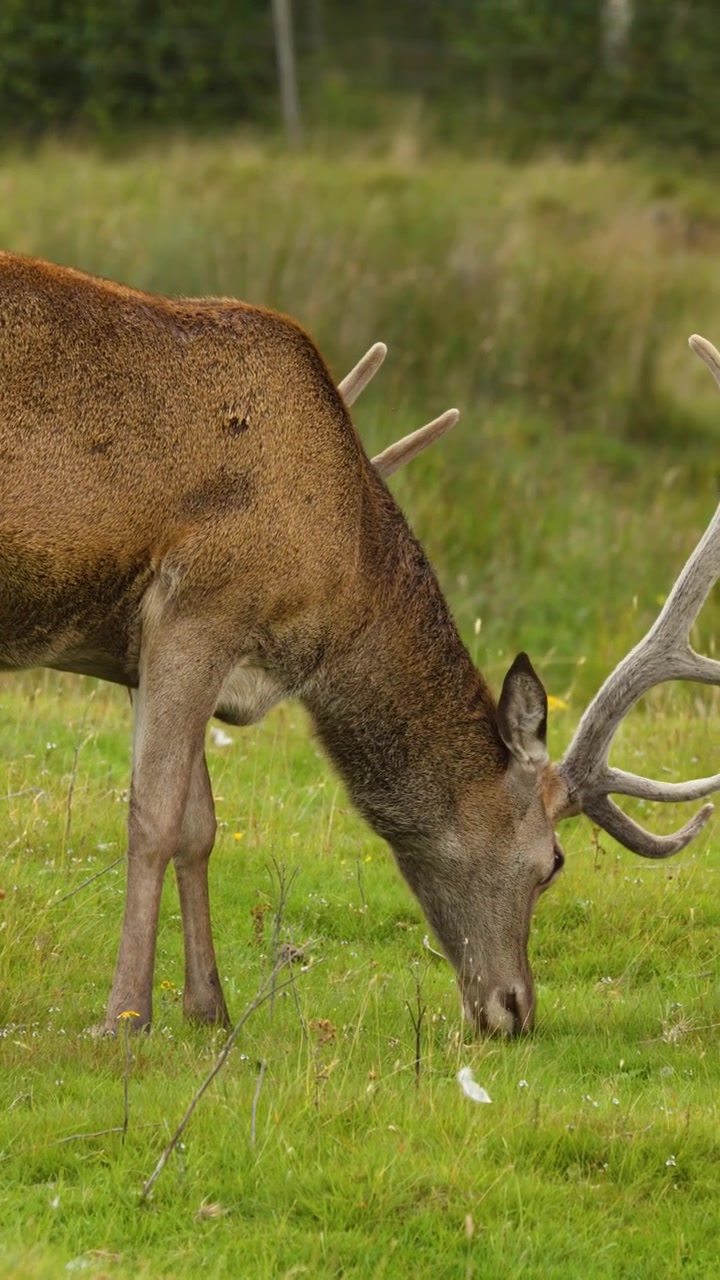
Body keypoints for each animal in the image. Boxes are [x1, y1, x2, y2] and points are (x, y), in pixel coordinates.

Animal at [1, 250, 718, 1038]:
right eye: (554, 861)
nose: (514, 1009)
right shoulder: (198, 610)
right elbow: (154, 819)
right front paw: (126, 1017)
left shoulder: (145, 653)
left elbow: (200, 825)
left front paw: (208, 1008)